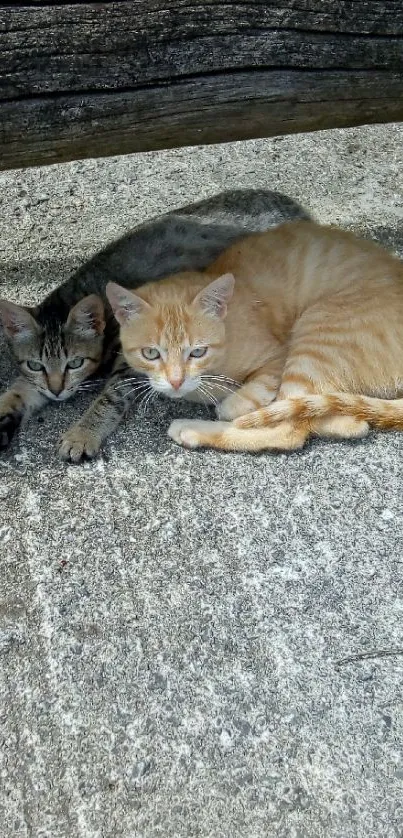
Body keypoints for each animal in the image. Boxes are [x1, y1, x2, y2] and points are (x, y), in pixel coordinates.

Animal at [0, 190, 310, 462]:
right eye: (36, 365)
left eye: (74, 362)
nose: (56, 391)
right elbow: (21, 387)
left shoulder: (130, 363)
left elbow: (108, 399)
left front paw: (83, 433)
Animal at [106, 218, 403, 452]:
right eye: (151, 353)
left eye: (198, 351)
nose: (176, 381)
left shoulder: (277, 355)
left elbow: (250, 391)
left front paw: (231, 402)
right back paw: (349, 420)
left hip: (318, 332)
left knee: (289, 430)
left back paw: (192, 429)